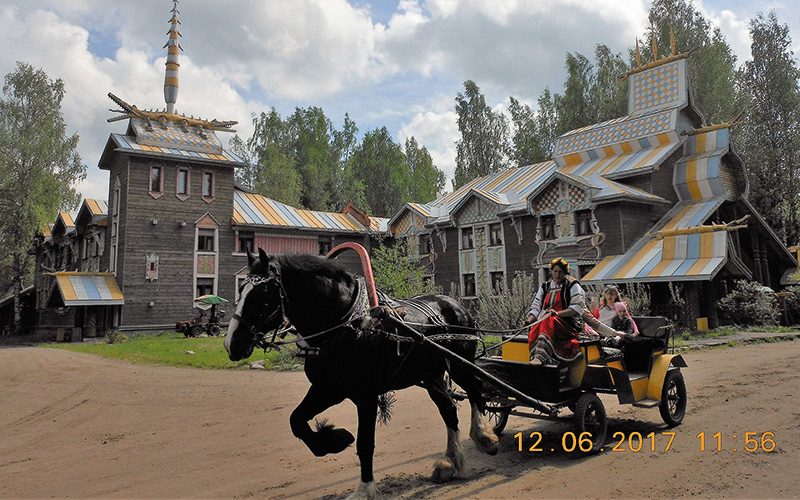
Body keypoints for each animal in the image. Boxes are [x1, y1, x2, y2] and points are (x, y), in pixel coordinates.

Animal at [225, 250, 496, 500]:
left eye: (262, 292)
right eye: (241, 289)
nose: (232, 343)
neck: (348, 324)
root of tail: (456, 304)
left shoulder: (366, 395)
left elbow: (365, 443)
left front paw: (364, 489)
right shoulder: (327, 388)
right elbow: (297, 420)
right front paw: (333, 439)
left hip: (461, 366)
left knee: (476, 393)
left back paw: (483, 436)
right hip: (432, 375)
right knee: (448, 410)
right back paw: (451, 462)